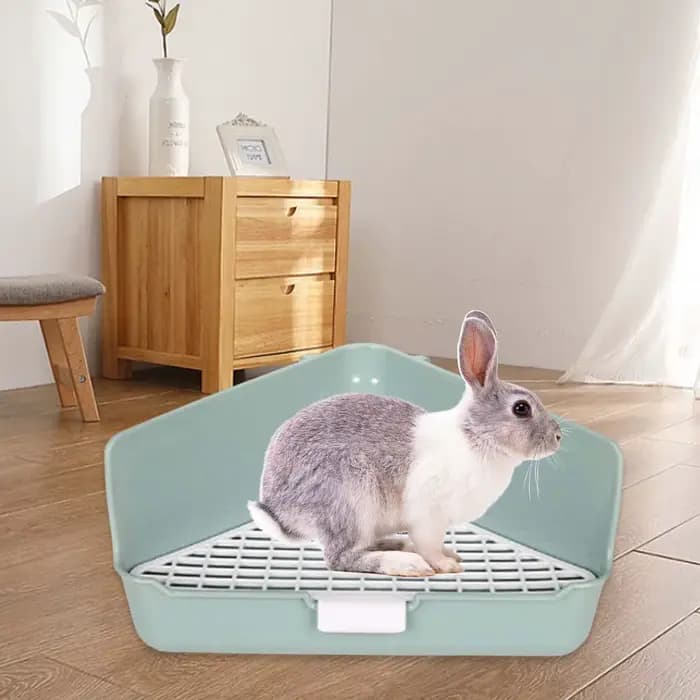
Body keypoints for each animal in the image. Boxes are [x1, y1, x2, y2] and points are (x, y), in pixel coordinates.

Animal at [248, 310, 562, 577]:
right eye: (521, 409)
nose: (558, 437)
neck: (476, 435)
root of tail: (279, 510)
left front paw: (449, 557)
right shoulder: (429, 515)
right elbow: (429, 545)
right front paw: (445, 565)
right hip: (350, 499)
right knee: (341, 557)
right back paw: (408, 564)